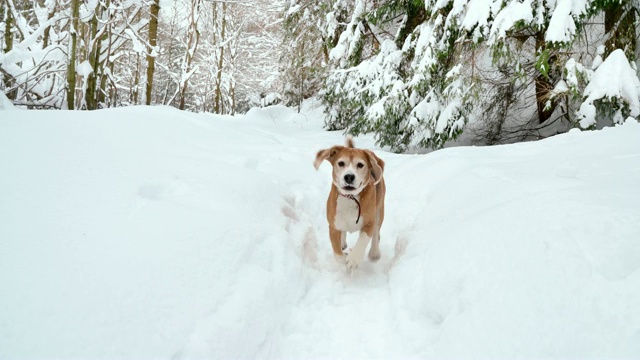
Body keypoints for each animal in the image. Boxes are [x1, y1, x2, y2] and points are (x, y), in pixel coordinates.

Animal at [314, 139, 384, 270]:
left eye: (360, 165)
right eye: (341, 163)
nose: (349, 176)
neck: (350, 197)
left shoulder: (369, 223)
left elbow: (363, 240)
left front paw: (353, 258)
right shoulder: (333, 226)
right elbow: (337, 253)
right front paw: (344, 259)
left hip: (379, 211)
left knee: (376, 234)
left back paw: (374, 252)